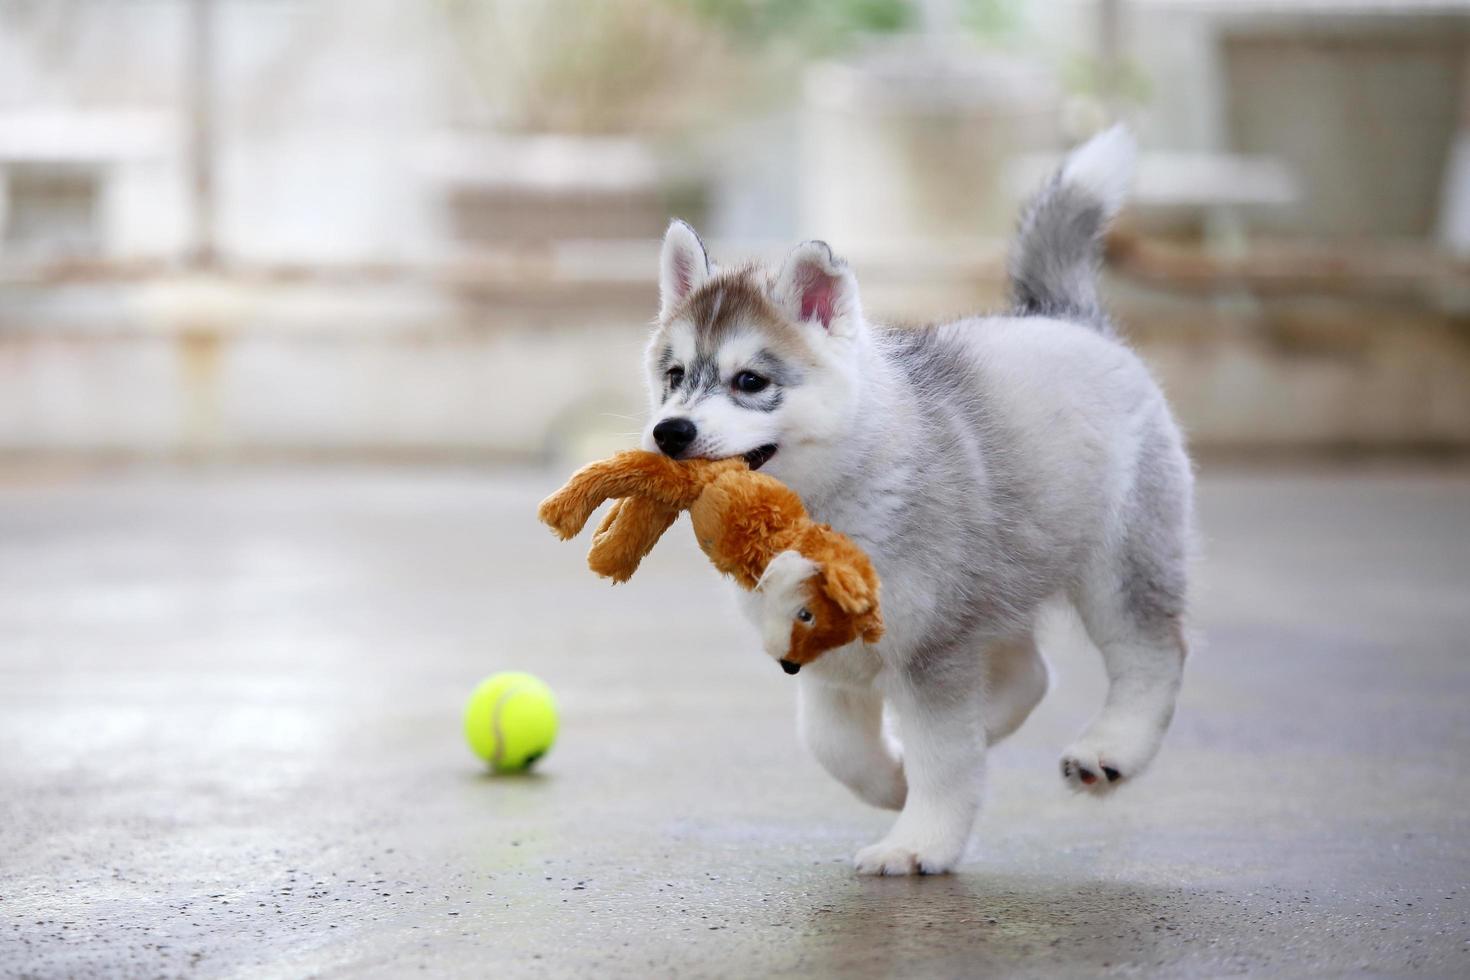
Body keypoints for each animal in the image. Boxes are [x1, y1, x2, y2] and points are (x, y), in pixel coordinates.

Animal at [643, 128, 1193, 875]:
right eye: (674, 376)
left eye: (750, 381)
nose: (669, 432)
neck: (829, 497)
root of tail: (1069, 321)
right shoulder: (829, 650)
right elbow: (833, 743)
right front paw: (894, 783)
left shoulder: (933, 648)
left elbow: (945, 756)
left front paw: (918, 842)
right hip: (990, 583)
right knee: (1029, 673)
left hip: (1117, 561)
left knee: (1150, 652)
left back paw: (1110, 749)